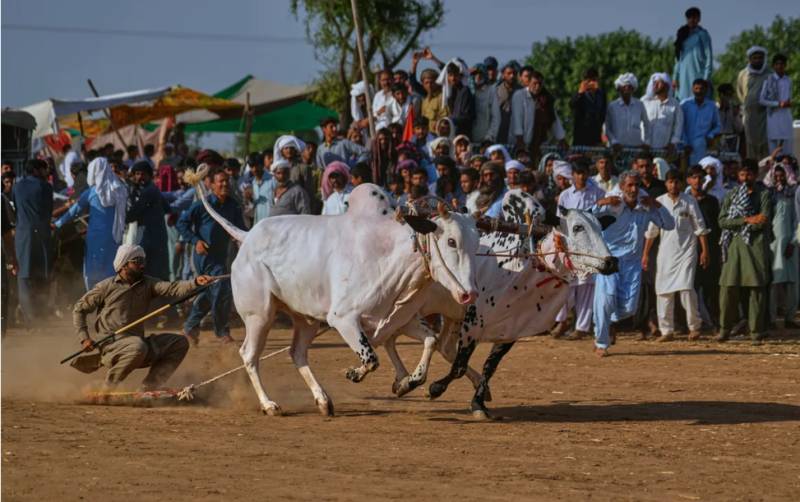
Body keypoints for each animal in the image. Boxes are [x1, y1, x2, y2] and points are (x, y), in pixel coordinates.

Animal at [185, 165, 481, 416]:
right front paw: (355, 373)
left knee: (297, 353)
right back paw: (269, 404)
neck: (390, 255)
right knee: (249, 355)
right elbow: (371, 358)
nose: (470, 294)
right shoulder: (343, 318)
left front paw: (405, 383)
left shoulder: (400, 319)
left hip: (306, 320)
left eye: (477, 240)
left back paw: (323, 400)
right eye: (451, 241)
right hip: (260, 315)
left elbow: (430, 341)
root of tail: (247, 236)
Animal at [381, 190, 617, 419]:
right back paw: (403, 379)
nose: (611, 262)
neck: (528, 266)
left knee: (426, 343)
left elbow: (489, 367)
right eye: (577, 227)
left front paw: (478, 402)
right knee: (397, 337)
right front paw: (436, 388)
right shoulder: (473, 323)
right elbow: (459, 366)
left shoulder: (510, 331)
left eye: (600, 228)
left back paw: (403, 379)